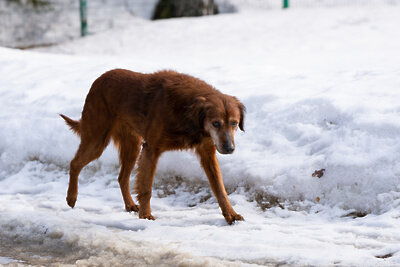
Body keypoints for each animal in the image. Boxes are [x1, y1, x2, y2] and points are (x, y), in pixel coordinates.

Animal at [60, 69, 245, 224]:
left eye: (234, 123)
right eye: (215, 123)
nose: (229, 149)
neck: (187, 111)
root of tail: (99, 79)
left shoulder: (207, 153)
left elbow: (219, 188)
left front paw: (231, 214)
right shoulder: (151, 149)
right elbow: (146, 187)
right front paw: (146, 215)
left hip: (132, 146)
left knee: (122, 177)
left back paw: (130, 205)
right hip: (97, 140)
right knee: (75, 164)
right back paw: (71, 197)